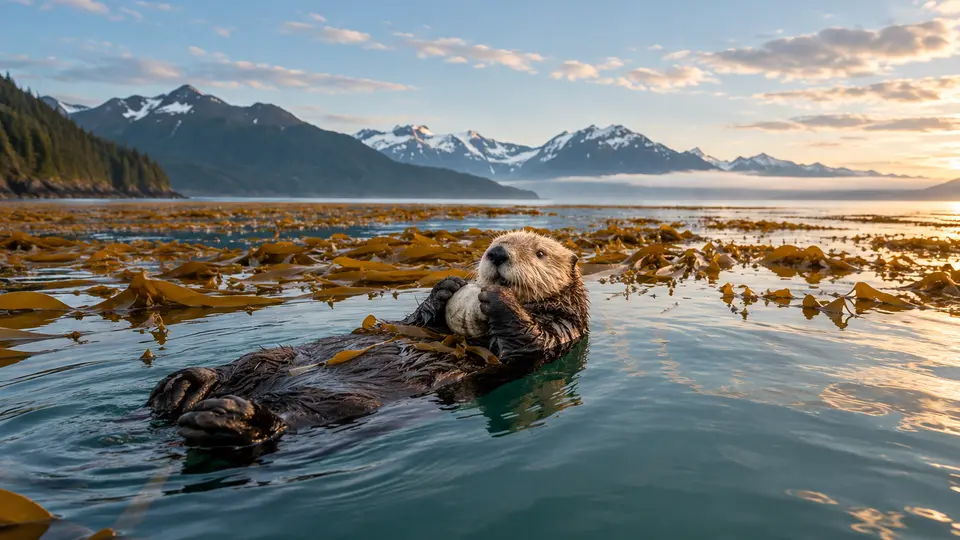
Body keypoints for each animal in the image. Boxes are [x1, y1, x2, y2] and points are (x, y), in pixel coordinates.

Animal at [147, 230, 590, 448]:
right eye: (491, 244)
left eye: (540, 253)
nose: (497, 254)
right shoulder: (433, 328)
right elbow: (421, 322)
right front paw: (445, 288)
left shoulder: (562, 331)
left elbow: (529, 339)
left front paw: (498, 298)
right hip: (271, 357)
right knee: (240, 367)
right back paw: (185, 385)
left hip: (344, 403)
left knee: (289, 420)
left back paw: (229, 419)